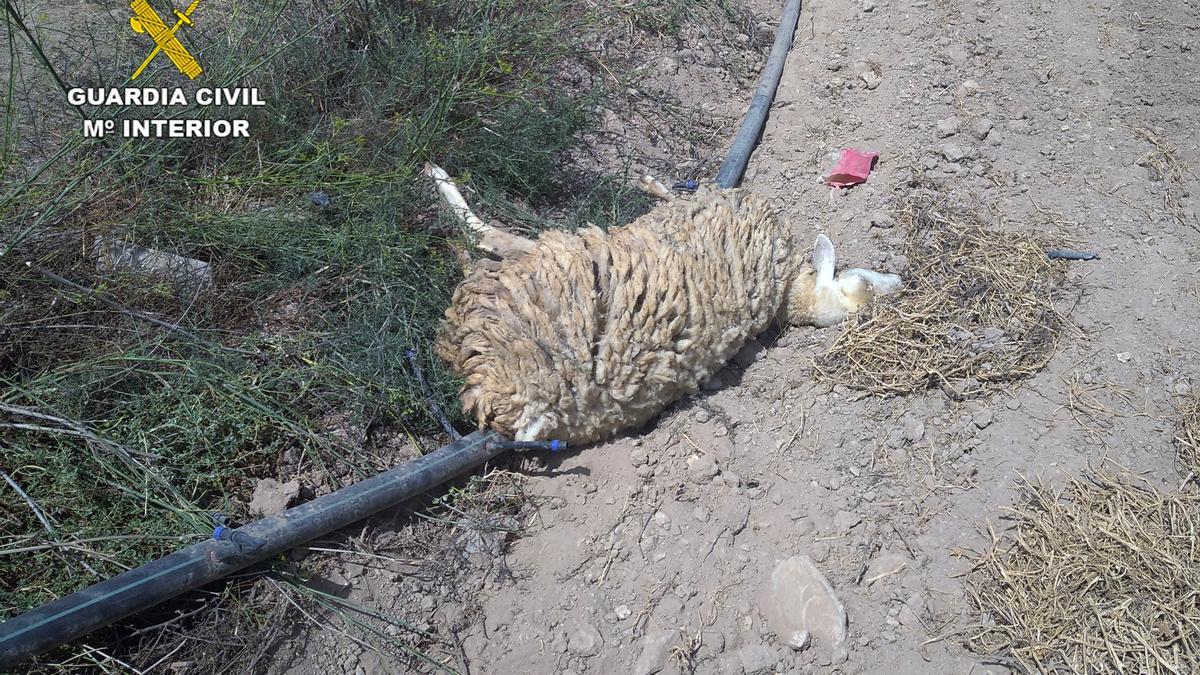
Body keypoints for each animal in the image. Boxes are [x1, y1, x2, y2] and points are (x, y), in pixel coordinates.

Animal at [427, 165, 897, 444]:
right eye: (864, 279)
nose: (901, 281)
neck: (785, 291)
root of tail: (487, 383)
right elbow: (679, 197)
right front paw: (655, 183)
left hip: (549, 267)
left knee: (491, 239)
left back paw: (443, 192)